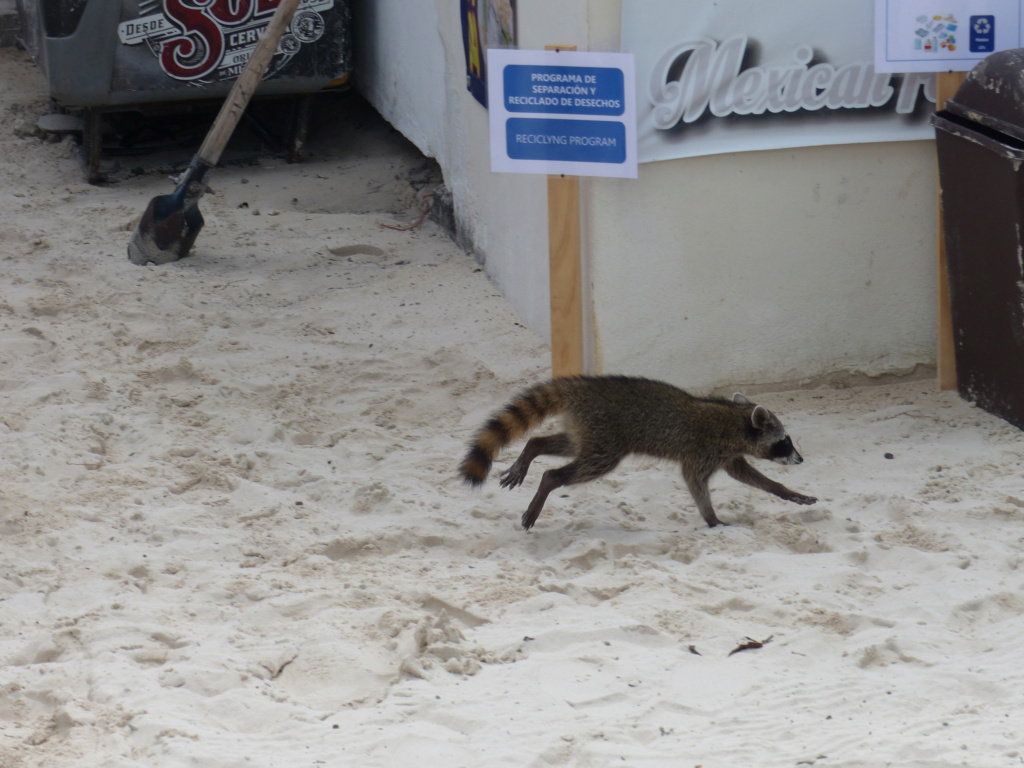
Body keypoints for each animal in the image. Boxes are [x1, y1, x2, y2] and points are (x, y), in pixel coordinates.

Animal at [460, 376, 819, 532]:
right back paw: (548, 481)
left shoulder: (727, 453)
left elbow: (748, 475)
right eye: (785, 442)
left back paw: (530, 452)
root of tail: (579, 387)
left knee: (557, 443)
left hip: (590, 429)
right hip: (606, 437)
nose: (800, 459)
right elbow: (695, 482)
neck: (736, 421)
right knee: (578, 468)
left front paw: (786, 491)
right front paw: (711, 517)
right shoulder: (703, 450)